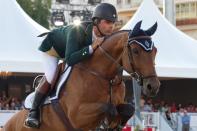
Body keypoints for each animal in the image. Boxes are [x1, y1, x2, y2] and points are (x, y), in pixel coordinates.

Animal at [2, 20, 160, 131]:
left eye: (155, 51)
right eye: (135, 51)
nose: (153, 86)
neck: (104, 76)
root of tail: (9, 123)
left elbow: (128, 109)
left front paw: (115, 124)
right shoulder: (77, 115)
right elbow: (108, 107)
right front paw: (107, 122)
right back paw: (32, 119)